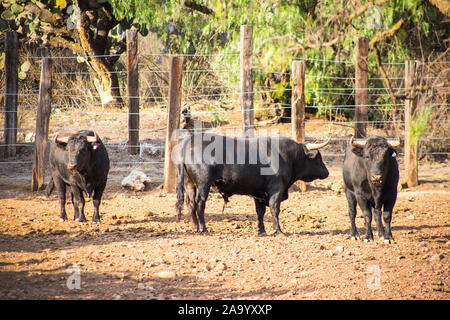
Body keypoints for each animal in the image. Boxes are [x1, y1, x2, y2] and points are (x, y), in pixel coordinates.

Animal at [174, 133, 328, 235]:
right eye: (318, 158)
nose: (327, 172)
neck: (286, 156)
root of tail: (190, 140)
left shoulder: (259, 193)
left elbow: (260, 212)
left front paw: (262, 230)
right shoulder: (276, 190)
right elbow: (275, 209)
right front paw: (278, 230)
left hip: (190, 184)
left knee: (191, 204)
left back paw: (195, 227)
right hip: (203, 184)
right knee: (200, 204)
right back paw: (204, 228)